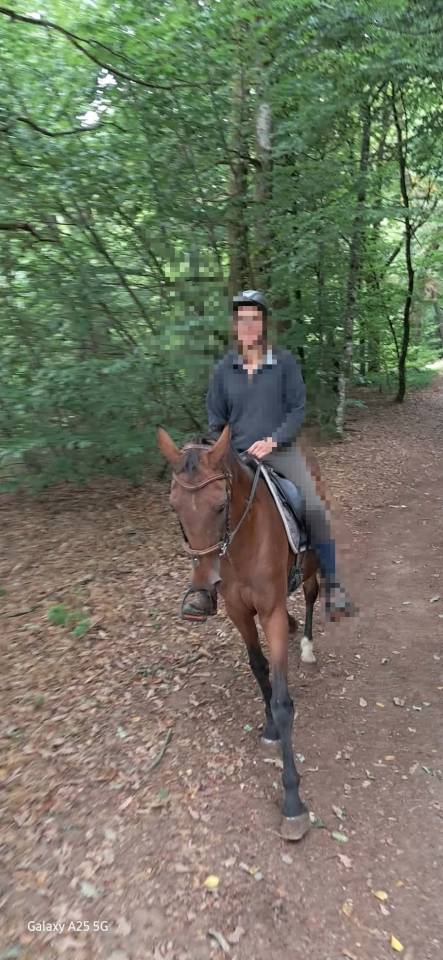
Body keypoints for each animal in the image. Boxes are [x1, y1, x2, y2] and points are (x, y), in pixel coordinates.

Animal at [157, 424, 320, 841]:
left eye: (219, 506)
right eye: (174, 506)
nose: (205, 582)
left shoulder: (270, 613)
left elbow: (282, 702)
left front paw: (292, 803)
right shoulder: (238, 613)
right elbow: (259, 670)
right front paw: (269, 728)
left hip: (312, 565)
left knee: (313, 593)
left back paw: (308, 643)